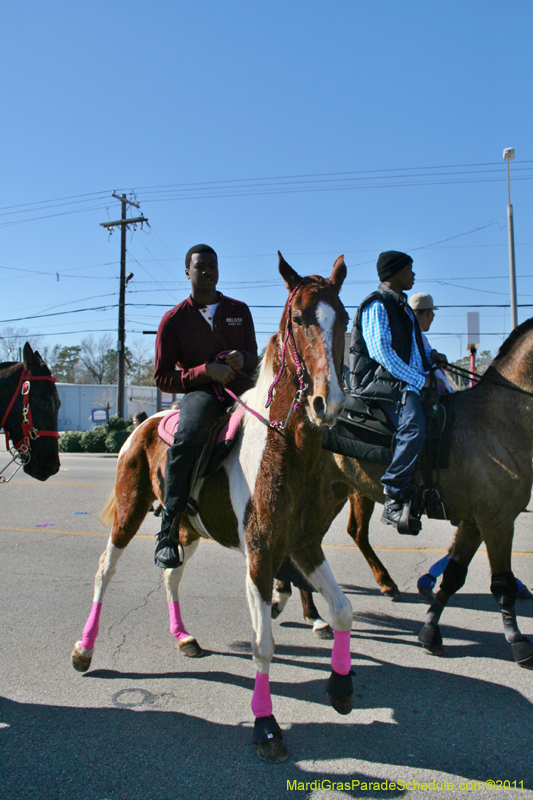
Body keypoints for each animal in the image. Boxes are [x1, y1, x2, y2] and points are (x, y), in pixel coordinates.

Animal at [71, 255, 354, 764]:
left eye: (341, 318)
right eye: (298, 318)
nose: (329, 402)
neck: (286, 447)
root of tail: (143, 423)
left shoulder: (304, 545)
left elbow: (343, 611)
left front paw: (341, 687)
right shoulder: (261, 553)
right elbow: (263, 644)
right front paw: (265, 726)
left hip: (186, 531)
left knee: (171, 575)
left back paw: (184, 637)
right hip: (129, 512)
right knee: (105, 569)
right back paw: (84, 650)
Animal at [276, 318, 532, 668]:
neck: (499, 420)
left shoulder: (475, 522)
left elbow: (453, 576)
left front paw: (430, 633)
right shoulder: (498, 521)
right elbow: (502, 585)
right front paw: (519, 643)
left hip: (332, 494)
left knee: (307, 545)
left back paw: (308, 609)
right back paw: (314, 613)